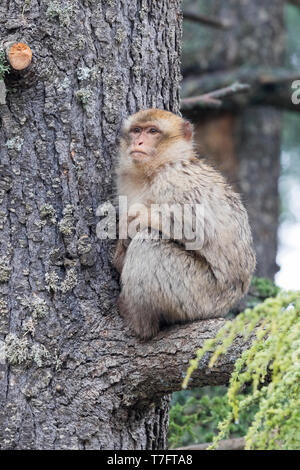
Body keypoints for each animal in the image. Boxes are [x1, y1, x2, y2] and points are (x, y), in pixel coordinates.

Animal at [112, 108, 255, 340]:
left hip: (198, 295)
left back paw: (141, 323)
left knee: (149, 241)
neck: (154, 171)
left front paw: (138, 217)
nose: (139, 142)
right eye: (136, 130)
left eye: (152, 131)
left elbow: (198, 226)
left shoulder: (174, 180)